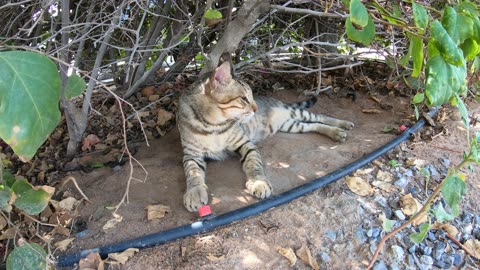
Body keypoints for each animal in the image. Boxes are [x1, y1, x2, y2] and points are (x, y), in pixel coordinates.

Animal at [176, 60, 352, 212]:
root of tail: (278, 103)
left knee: (320, 117)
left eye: (252, 96)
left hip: (296, 113)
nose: (256, 108)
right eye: (244, 98)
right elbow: (192, 172)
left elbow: (253, 163)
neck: (213, 126)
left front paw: (258, 182)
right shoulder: (191, 155)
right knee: (313, 125)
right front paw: (194, 192)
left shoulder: (246, 144)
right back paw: (336, 132)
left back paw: (341, 126)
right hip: (291, 125)